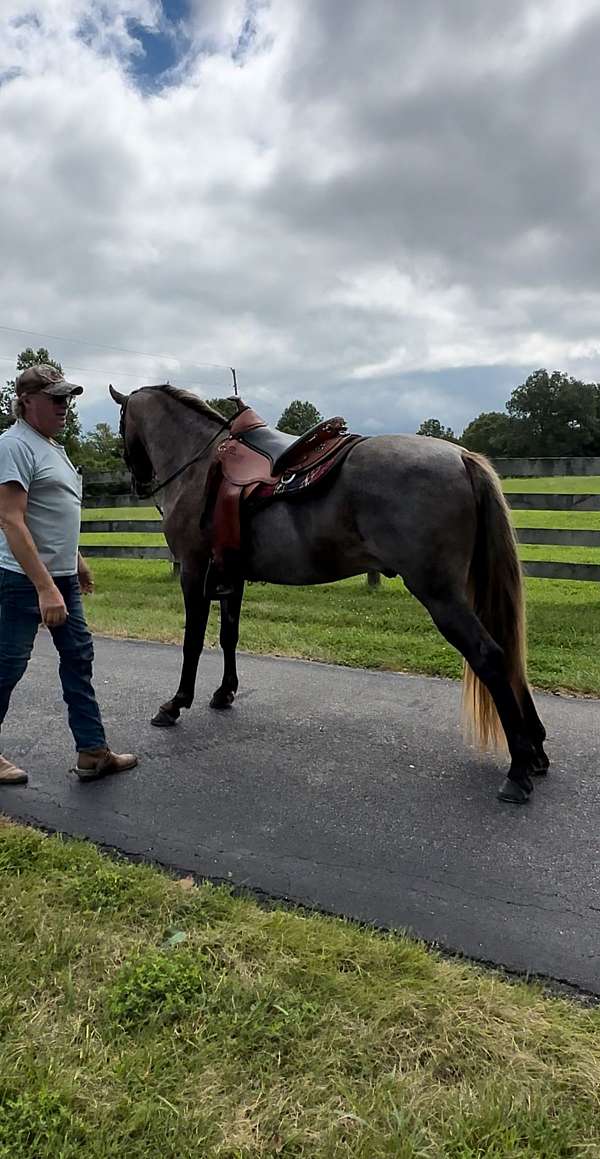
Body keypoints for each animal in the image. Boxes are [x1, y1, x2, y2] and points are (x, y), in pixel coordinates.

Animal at [108, 384, 551, 802]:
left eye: (122, 424)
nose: (137, 481)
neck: (200, 466)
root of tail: (461, 457)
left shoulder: (194, 572)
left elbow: (193, 642)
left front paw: (176, 703)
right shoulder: (231, 577)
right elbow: (228, 636)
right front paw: (224, 692)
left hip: (442, 596)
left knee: (489, 655)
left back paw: (518, 770)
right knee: (508, 654)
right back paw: (536, 752)